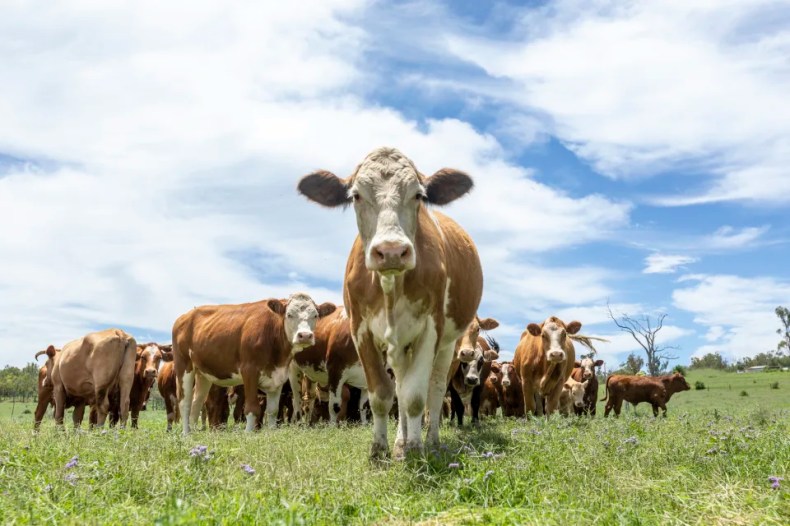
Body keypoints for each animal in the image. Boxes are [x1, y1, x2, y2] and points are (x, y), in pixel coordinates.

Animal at [173, 293, 335, 433]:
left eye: (315, 315)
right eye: (289, 315)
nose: (305, 336)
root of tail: (185, 316)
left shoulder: (278, 375)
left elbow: (273, 410)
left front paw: (271, 432)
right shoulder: (249, 370)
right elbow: (252, 407)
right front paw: (249, 433)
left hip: (203, 373)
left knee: (196, 402)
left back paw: (194, 432)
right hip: (183, 365)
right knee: (185, 402)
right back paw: (186, 434)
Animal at [298, 147, 483, 459]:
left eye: (418, 195)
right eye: (356, 195)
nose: (392, 251)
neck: (390, 287)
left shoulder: (430, 329)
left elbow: (415, 396)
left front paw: (416, 448)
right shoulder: (360, 330)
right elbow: (382, 395)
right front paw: (380, 448)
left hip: (448, 344)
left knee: (434, 390)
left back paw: (431, 441)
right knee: (400, 384)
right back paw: (400, 442)